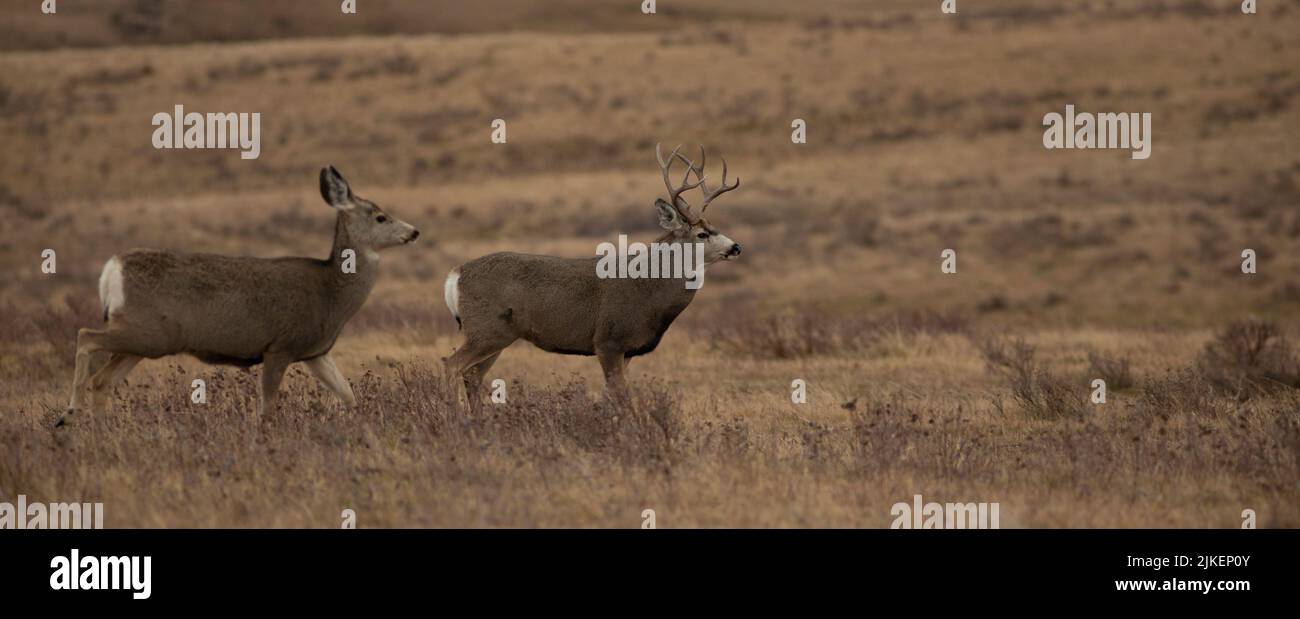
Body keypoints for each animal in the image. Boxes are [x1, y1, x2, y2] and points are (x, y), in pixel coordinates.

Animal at [59, 166, 419, 426]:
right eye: (380, 216)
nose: (414, 231)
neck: (330, 293)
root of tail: (111, 269)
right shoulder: (280, 346)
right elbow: (267, 407)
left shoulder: (315, 352)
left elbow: (348, 395)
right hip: (146, 332)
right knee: (85, 336)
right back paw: (69, 413)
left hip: (145, 340)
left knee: (103, 379)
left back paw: (101, 429)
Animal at [442, 144, 742, 410]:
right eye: (702, 234)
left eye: (715, 227)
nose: (735, 247)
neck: (649, 289)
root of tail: (456, 274)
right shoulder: (608, 340)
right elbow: (621, 397)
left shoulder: (627, 350)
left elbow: (612, 397)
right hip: (486, 329)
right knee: (451, 365)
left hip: (496, 335)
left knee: (472, 375)